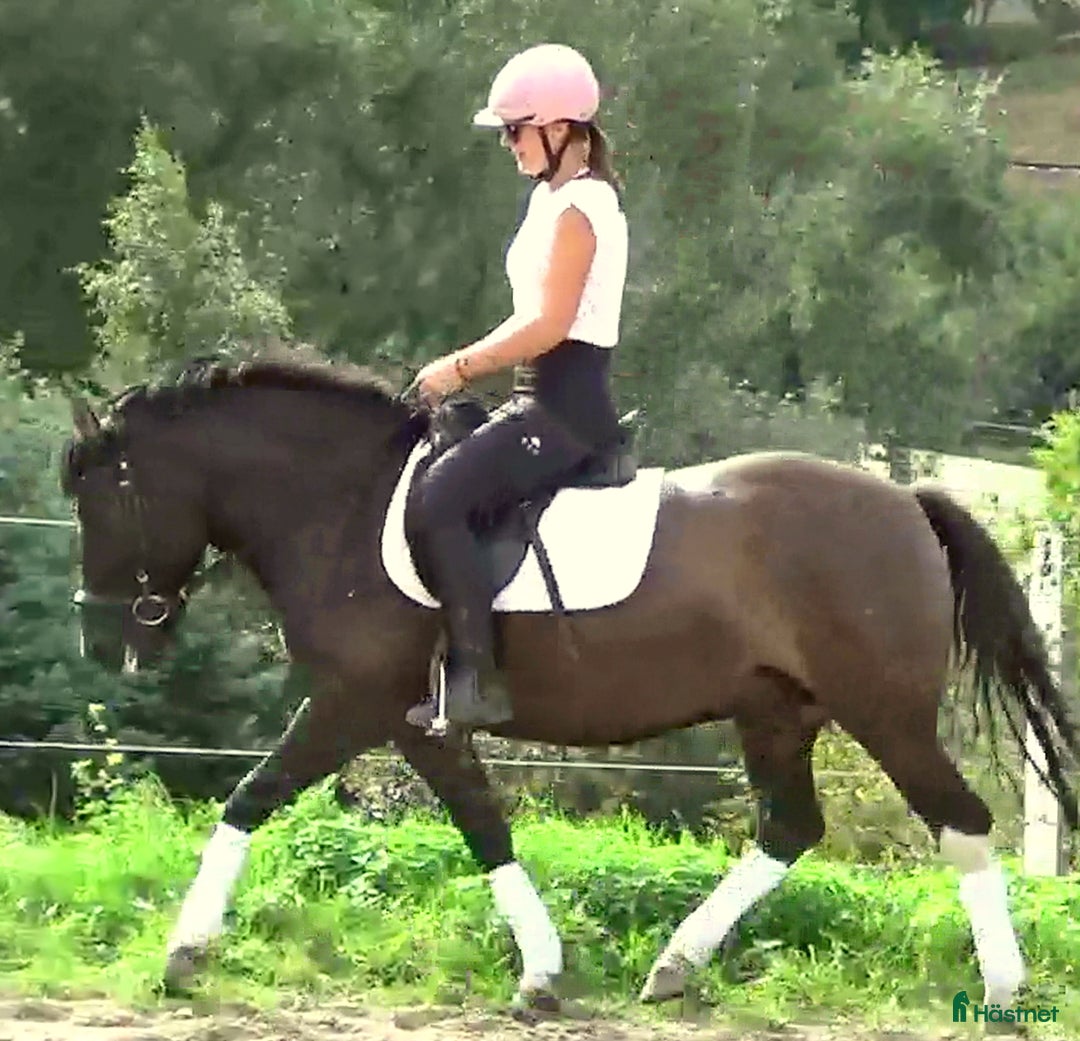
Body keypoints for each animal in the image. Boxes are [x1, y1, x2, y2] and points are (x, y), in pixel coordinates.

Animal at [59, 355, 1079, 1017]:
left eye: (100, 498)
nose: (100, 637)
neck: (341, 507)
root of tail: (907, 501)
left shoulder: (360, 702)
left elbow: (249, 796)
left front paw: (183, 953)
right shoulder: (419, 722)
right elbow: (485, 827)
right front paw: (543, 972)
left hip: (883, 711)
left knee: (959, 820)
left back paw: (1002, 987)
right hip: (775, 708)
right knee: (791, 827)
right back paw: (674, 966)